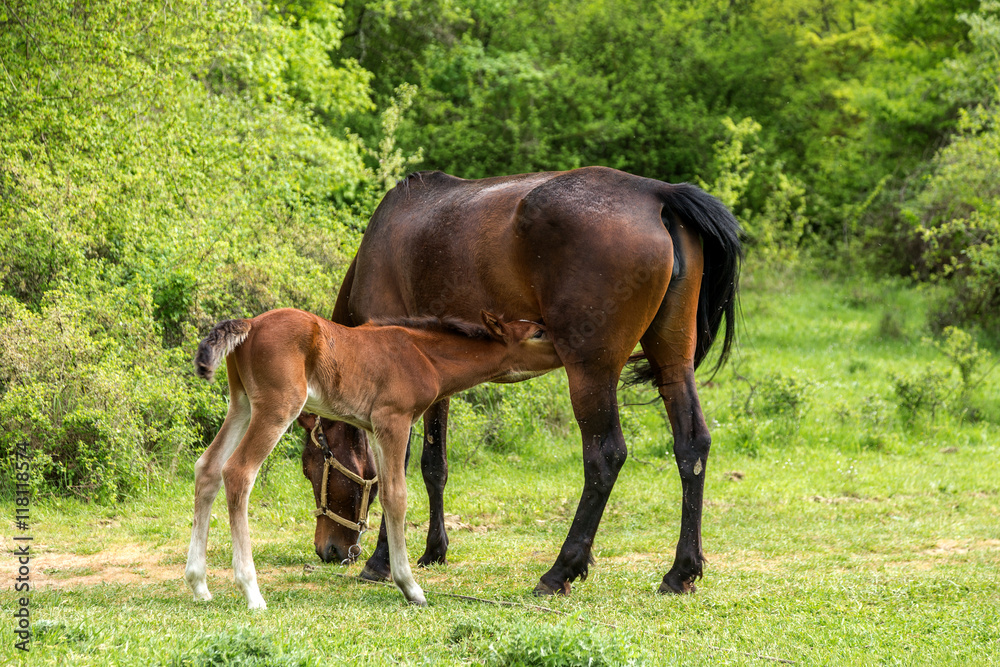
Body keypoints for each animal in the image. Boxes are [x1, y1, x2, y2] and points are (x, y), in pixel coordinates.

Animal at [183, 310, 560, 608]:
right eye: (537, 333)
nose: (565, 350)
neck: (425, 356)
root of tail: (251, 324)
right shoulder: (394, 421)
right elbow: (397, 497)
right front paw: (410, 587)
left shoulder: (376, 429)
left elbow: (385, 491)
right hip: (277, 407)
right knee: (238, 472)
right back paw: (251, 591)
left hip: (242, 404)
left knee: (208, 468)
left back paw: (199, 584)